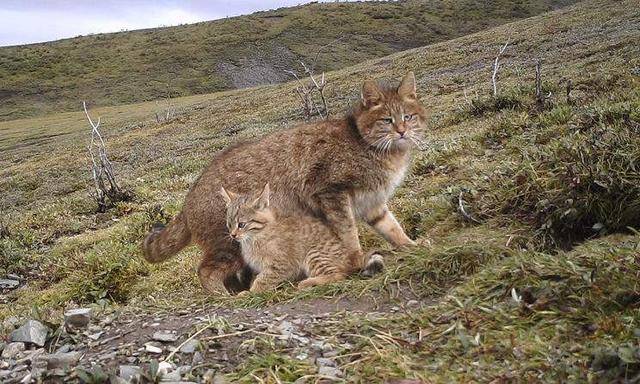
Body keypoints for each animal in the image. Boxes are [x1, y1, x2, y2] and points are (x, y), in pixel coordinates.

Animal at [220, 183, 382, 292]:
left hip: (314, 254)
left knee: (339, 275)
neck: (254, 237)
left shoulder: (282, 265)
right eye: (229, 224)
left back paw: (308, 282)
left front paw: (250, 293)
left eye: (241, 224)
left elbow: (263, 279)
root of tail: (352, 257)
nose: (233, 235)